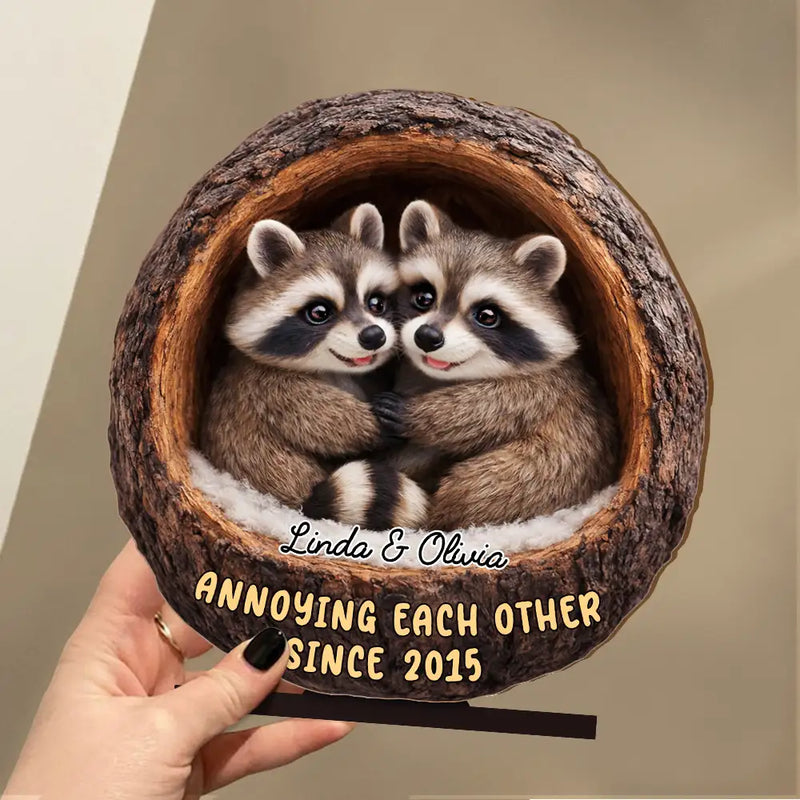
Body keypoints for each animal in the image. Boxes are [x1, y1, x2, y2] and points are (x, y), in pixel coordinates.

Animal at [199, 203, 402, 510]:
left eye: (376, 303)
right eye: (319, 312)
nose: (374, 336)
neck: (332, 369)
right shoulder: (266, 385)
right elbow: (318, 418)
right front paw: (374, 424)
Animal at [374, 199, 619, 531]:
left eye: (487, 316)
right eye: (424, 297)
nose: (427, 336)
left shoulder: (546, 386)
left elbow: (490, 407)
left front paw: (415, 414)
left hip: (542, 475)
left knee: (480, 487)